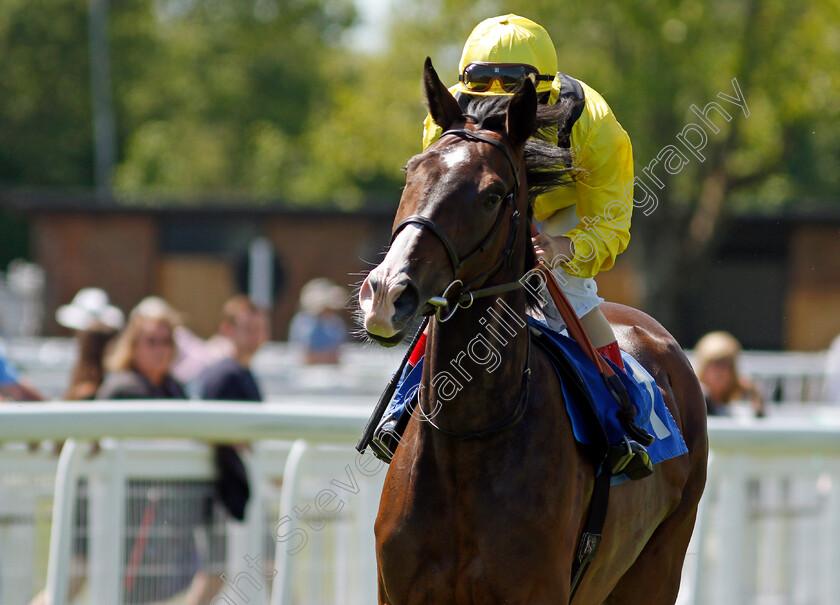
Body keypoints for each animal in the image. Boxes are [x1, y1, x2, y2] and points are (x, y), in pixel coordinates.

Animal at [358, 57, 704, 604]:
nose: (389, 293)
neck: (465, 440)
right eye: (412, 171)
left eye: (492, 195)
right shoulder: (397, 592)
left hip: (658, 566)